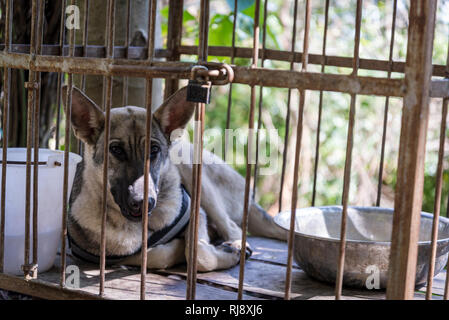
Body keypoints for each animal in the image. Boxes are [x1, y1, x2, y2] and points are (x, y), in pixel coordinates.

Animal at [63, 86, 286, 272]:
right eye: (116, 150)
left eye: (154, 150)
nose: (143, 202)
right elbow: (153, 255)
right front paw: (177, 248)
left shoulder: (197, 213)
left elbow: (197, 253)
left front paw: (219, 251)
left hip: (193, 170)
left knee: (233, 227)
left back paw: (237, 244)